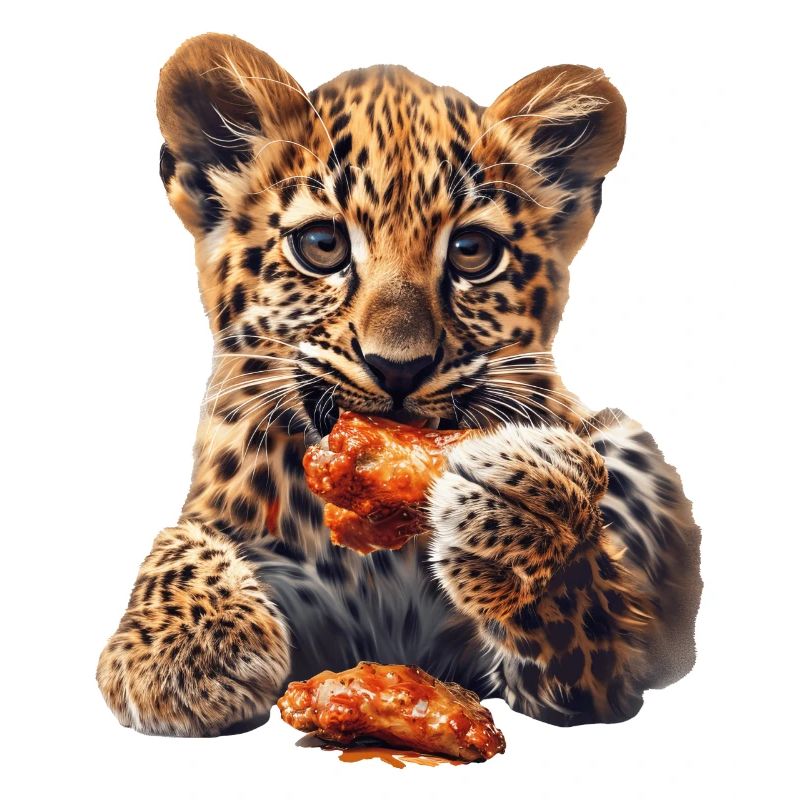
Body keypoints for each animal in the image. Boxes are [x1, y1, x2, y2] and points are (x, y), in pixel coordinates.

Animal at [97, 33, 702, 736]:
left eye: (471, 251)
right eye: (322, 244)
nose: (400, 367)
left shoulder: (599, 674)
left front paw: (528, 521)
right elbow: (180, 541)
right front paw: (188, 649)